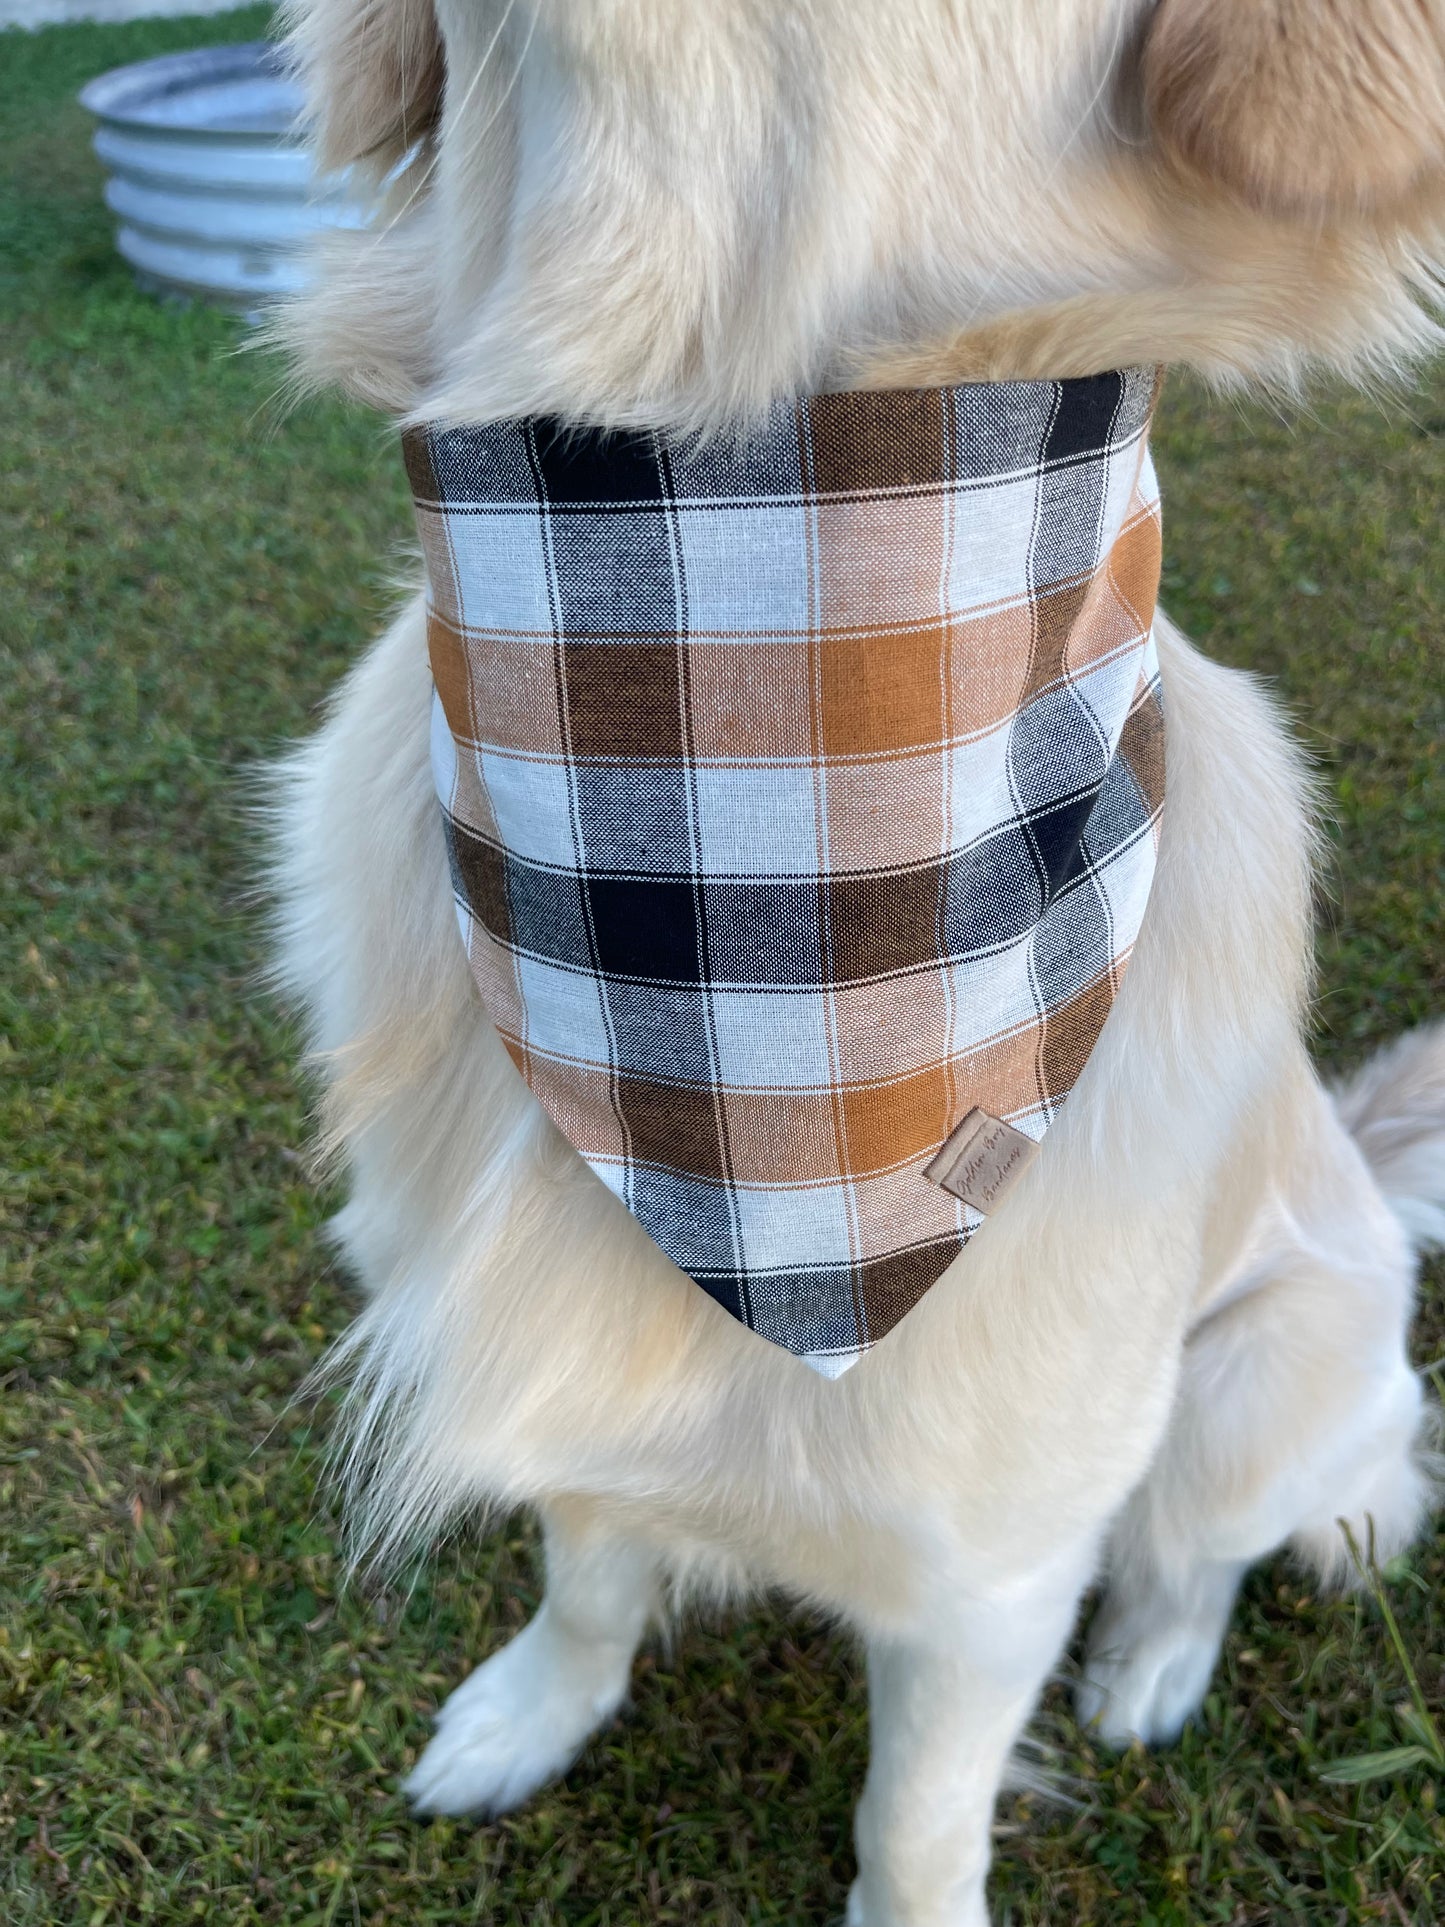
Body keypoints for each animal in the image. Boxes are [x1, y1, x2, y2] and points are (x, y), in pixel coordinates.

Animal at [265, 7, 1445, 1919]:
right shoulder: (584, 1394)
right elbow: (586, 1569)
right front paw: (530, 1712)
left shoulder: (995, 1566)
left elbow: (914, 1814)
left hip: (1255, 1383)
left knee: (1203, 1548)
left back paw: (1151, 1668)